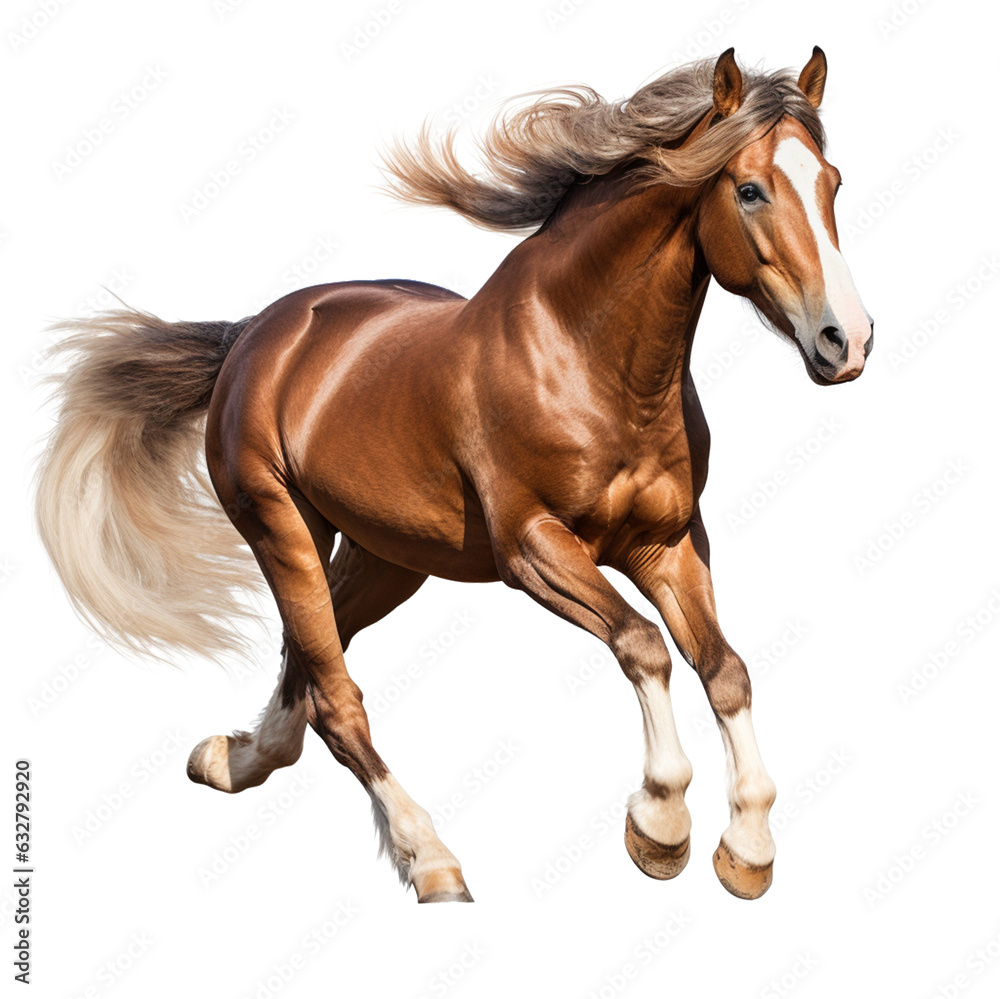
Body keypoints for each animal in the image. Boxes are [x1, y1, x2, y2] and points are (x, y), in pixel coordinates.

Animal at [35, 47, 872, 902]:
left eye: (833, 182)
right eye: (749, 189)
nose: (847, 340)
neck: (588, 359)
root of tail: (256, 333)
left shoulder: (666, 543)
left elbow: (725, 670)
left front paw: (748, 847)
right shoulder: (534, 547)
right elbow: (643, 645)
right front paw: (660, 823)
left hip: (389, 557)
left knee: (311, 655)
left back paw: (236, 758)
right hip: (281, 527)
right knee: (337, 696)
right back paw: (431, 857)